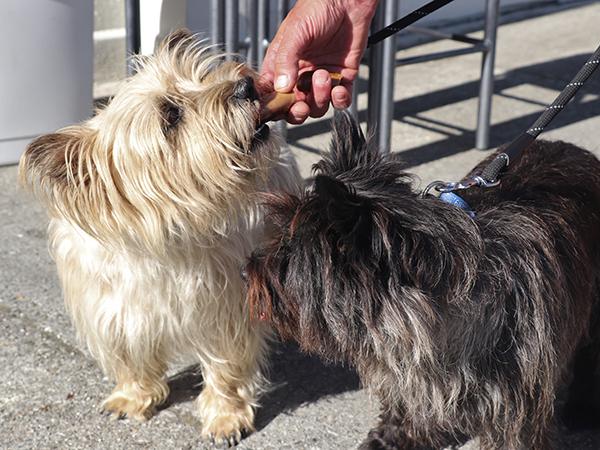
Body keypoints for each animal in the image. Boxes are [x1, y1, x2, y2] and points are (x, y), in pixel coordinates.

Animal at [18, 29, 300, 444]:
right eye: (171, 115)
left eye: (200, 78)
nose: (247, 85)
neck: (162, 246)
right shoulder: (114, 309)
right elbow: (130, 354)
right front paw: (134, 396)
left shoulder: (224, 307)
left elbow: (226, 364)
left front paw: (225, 415)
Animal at [244, 110, 600, 448]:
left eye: (288, 252)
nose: (246, 271)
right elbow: (404, 404)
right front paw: (391, 437)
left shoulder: (515, 410)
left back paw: (582, 407)